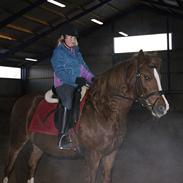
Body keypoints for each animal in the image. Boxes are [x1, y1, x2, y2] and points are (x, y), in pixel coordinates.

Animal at [2, 50, 169, 183]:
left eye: (159, 76)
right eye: (147, 77)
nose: (163, 108)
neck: (104, 111)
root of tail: (21, 100)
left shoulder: (111, 155)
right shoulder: (93, 157)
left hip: (38, 145)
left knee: (32, 165)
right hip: (17, 141)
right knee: (8, 168)